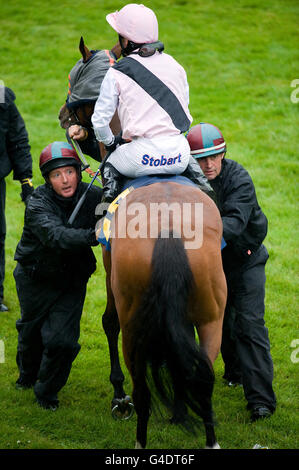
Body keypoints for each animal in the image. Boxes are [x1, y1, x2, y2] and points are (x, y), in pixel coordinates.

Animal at [59, 37, 227, 448]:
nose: (62, 116)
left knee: (143, 388)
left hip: (135, 319)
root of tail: (166, 229)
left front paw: (118, 396)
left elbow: (107, 322)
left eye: (72, 79)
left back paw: (137, 429)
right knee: (205, 377)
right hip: (212, 314)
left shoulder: (110, 272)